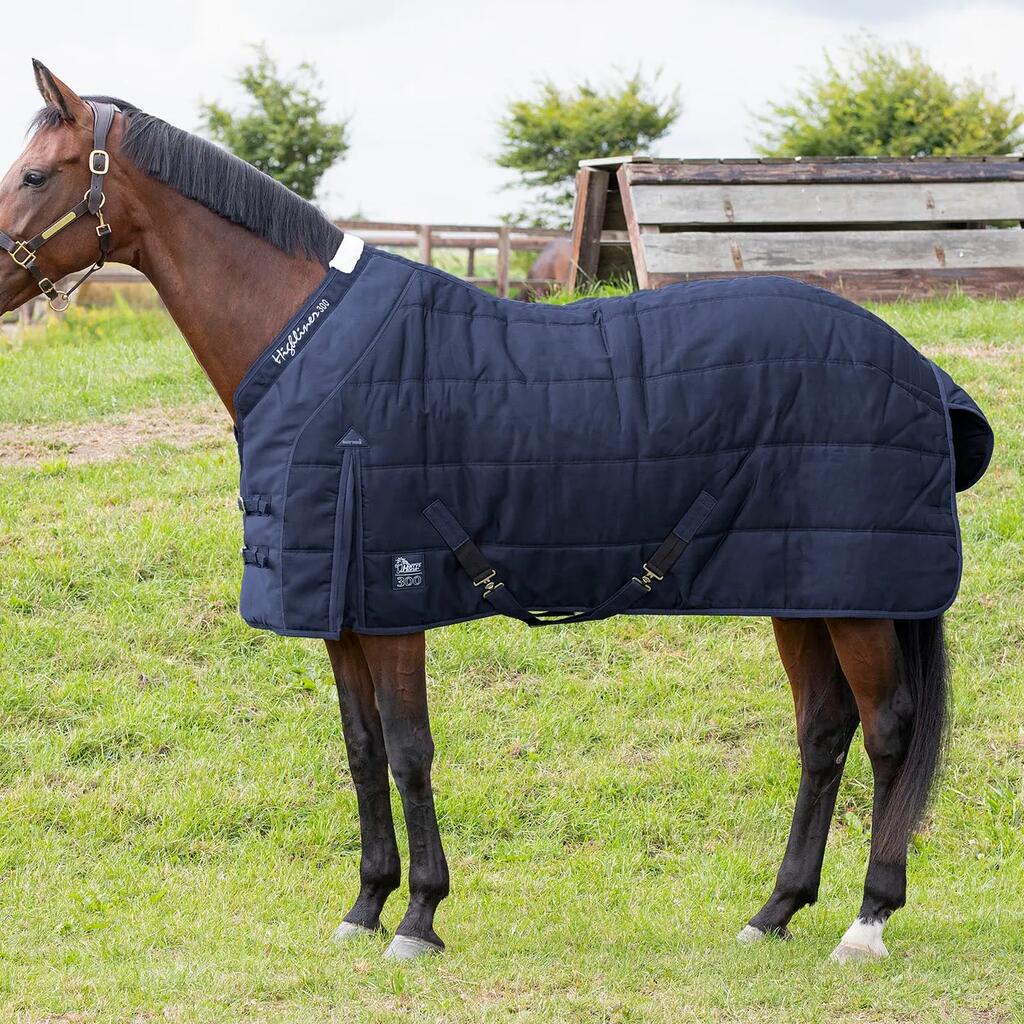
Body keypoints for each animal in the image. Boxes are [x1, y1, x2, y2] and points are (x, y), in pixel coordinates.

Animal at [0, 62, 991, 964]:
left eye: (37, 175)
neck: (310, 348)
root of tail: (915, 367)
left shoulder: (393, 600)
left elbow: (409, 750)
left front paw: (418, 918)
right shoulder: (339, 610)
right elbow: (361, 749)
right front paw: (364, 906)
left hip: (857, 599)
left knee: (888, 732)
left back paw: (867, 921)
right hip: (800, 590)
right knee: (822, 733)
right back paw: (774, 910)